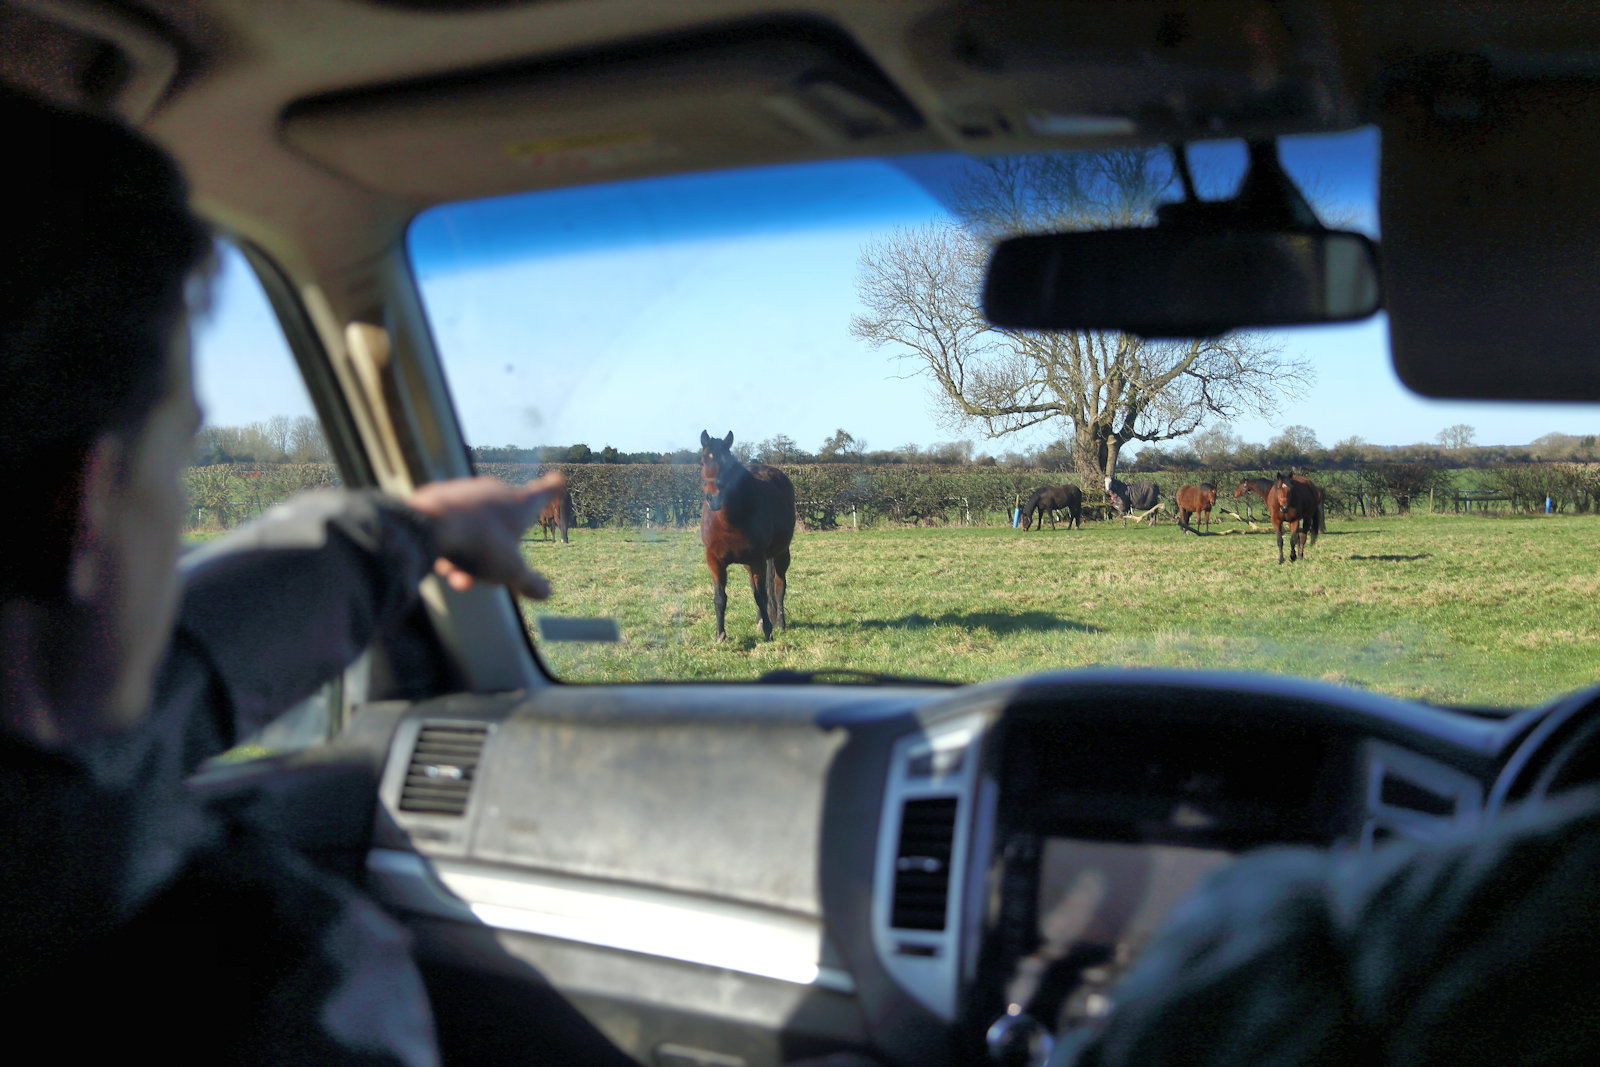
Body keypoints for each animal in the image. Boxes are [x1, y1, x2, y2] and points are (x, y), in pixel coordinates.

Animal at [699, 430, 796, 641]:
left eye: (727, 464)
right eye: (702, 462)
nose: (714, 498)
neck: (730, 521)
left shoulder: (757, 558)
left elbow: (762, 596)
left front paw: (768, 630)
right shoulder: (714, 561)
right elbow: (720, 598)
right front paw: (720, 635)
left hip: (781, 554)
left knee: (778, 587)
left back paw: (780, 623)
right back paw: (760, 621)